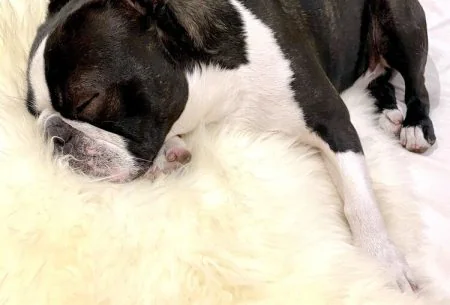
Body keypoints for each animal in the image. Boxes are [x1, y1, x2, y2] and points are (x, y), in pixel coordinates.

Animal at [25, 0, 436, 292]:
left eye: (87, 101)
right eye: (34, 113)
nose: (54, 133)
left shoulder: (334, 121)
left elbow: (360, 200)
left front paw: (383, 264)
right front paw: (168, 152)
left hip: (403, 22)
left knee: (416, 81)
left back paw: (414, 124)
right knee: (382, 78)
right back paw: (387, 109)